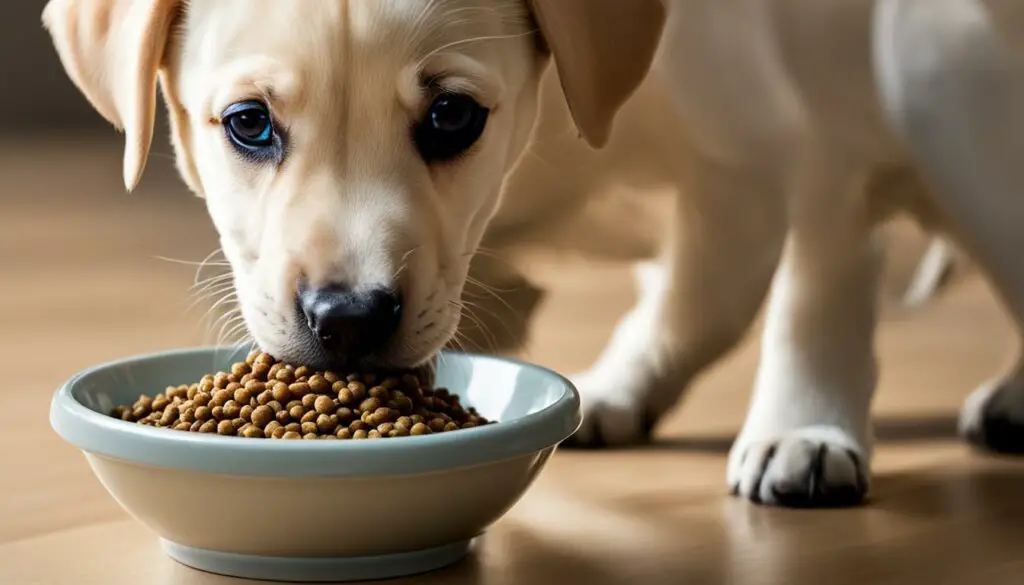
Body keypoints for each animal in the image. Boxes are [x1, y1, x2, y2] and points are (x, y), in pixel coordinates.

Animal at [44, 0, 1024, 508]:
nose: (348, 321)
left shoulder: (785, 141)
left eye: (453, 117)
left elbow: (793, 284)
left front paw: (799, 426)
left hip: (941, 83)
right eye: (249, 124)